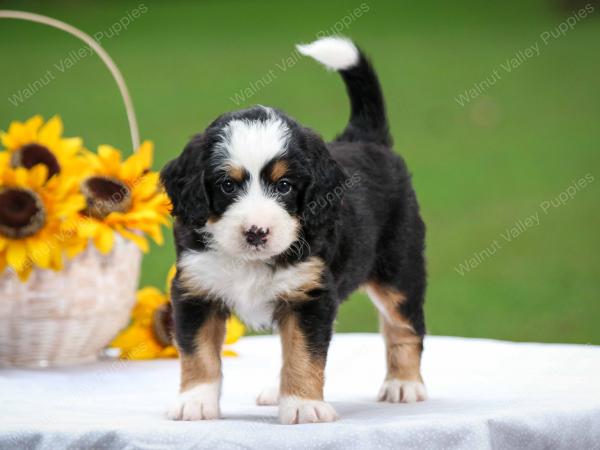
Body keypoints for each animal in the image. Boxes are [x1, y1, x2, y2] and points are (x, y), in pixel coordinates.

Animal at [161, 36, 426, 426]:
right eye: (227, 185)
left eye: (284, 186)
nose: (256, 232)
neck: (249, 262)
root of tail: (367, 140)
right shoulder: (196, 291)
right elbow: (198, 353)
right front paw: (195, 401)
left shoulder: (309, 296)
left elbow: (304, 352)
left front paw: (302, 404)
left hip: (399, 269)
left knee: (405, 327)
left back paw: (404, 384)